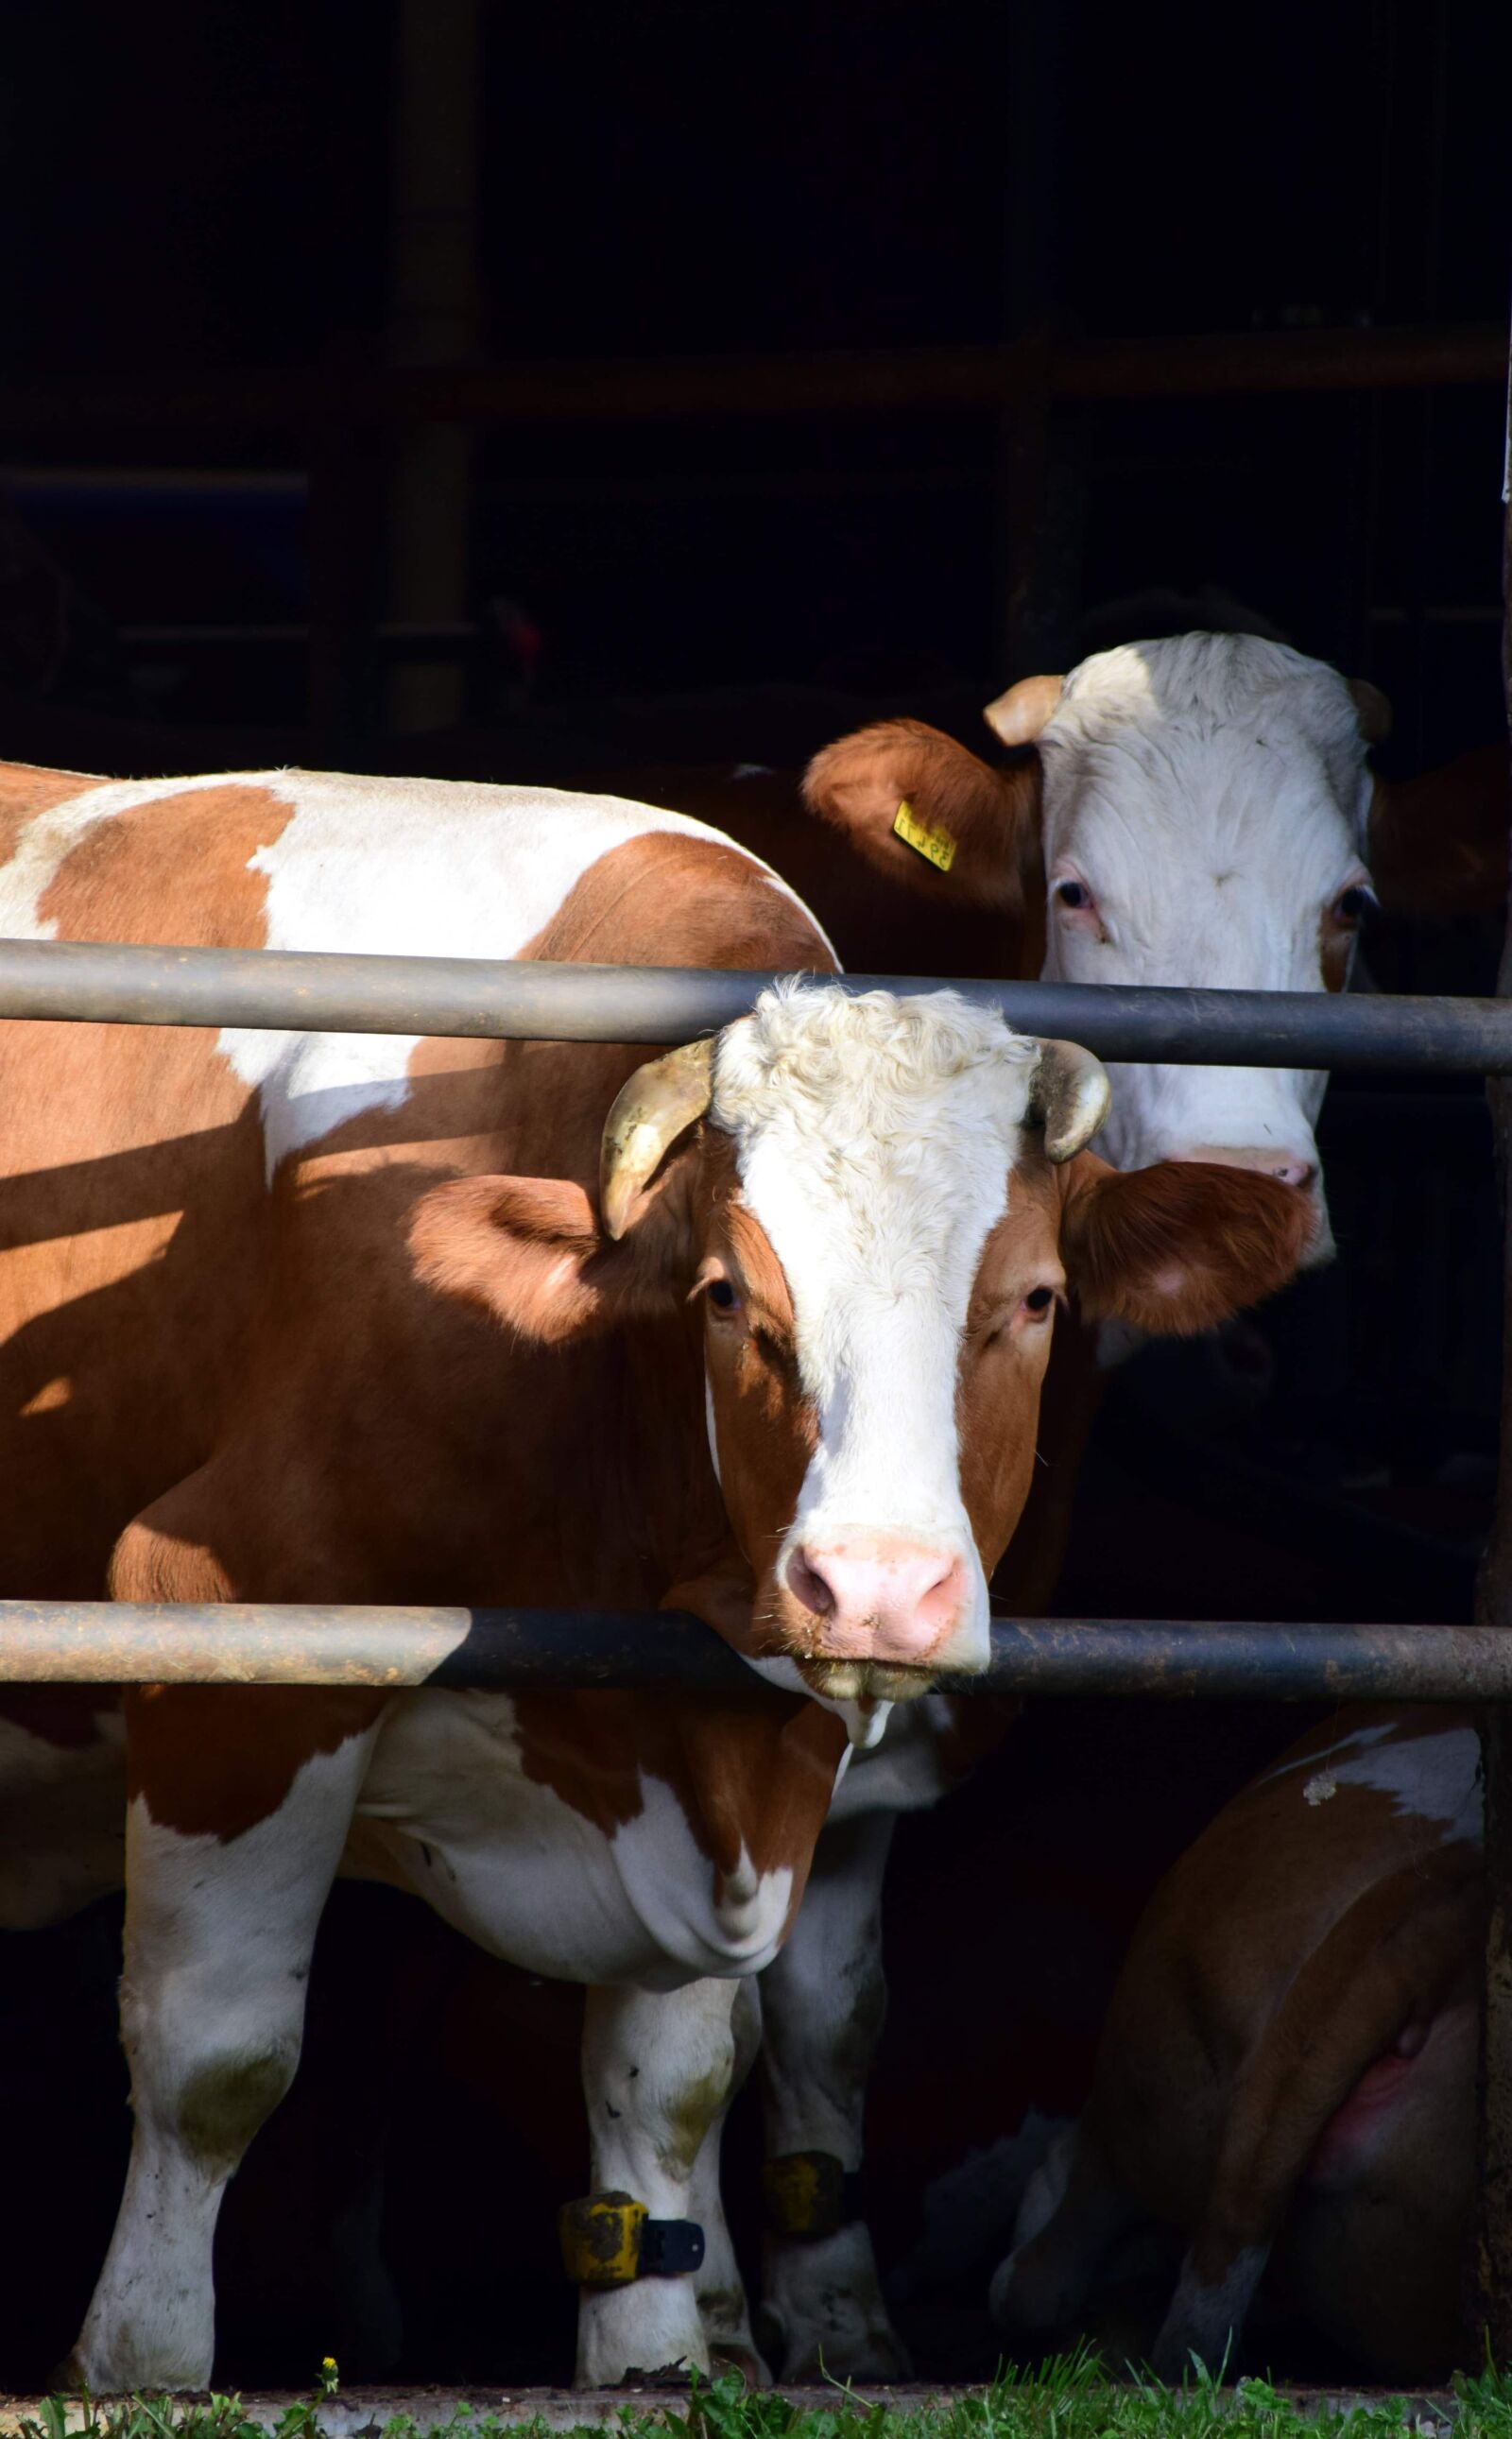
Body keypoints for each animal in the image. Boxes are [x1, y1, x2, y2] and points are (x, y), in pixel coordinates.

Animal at [0, 758, 1310, 2393]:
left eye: (1036, 1299)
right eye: (729, 1295)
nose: (875, 1589)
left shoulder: (725, 1749)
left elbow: (671, 2087)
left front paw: (652, 2359)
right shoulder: (228, 1625)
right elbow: (216, 2060)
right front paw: (140, 2367)